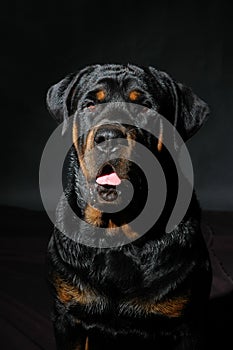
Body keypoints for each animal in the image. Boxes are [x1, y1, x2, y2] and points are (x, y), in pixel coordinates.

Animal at [46, 64, 212, 348]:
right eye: (90, 104)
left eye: (144, 107)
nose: (109, 137)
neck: (117, 233)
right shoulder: (67, 318)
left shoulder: (187, 326)